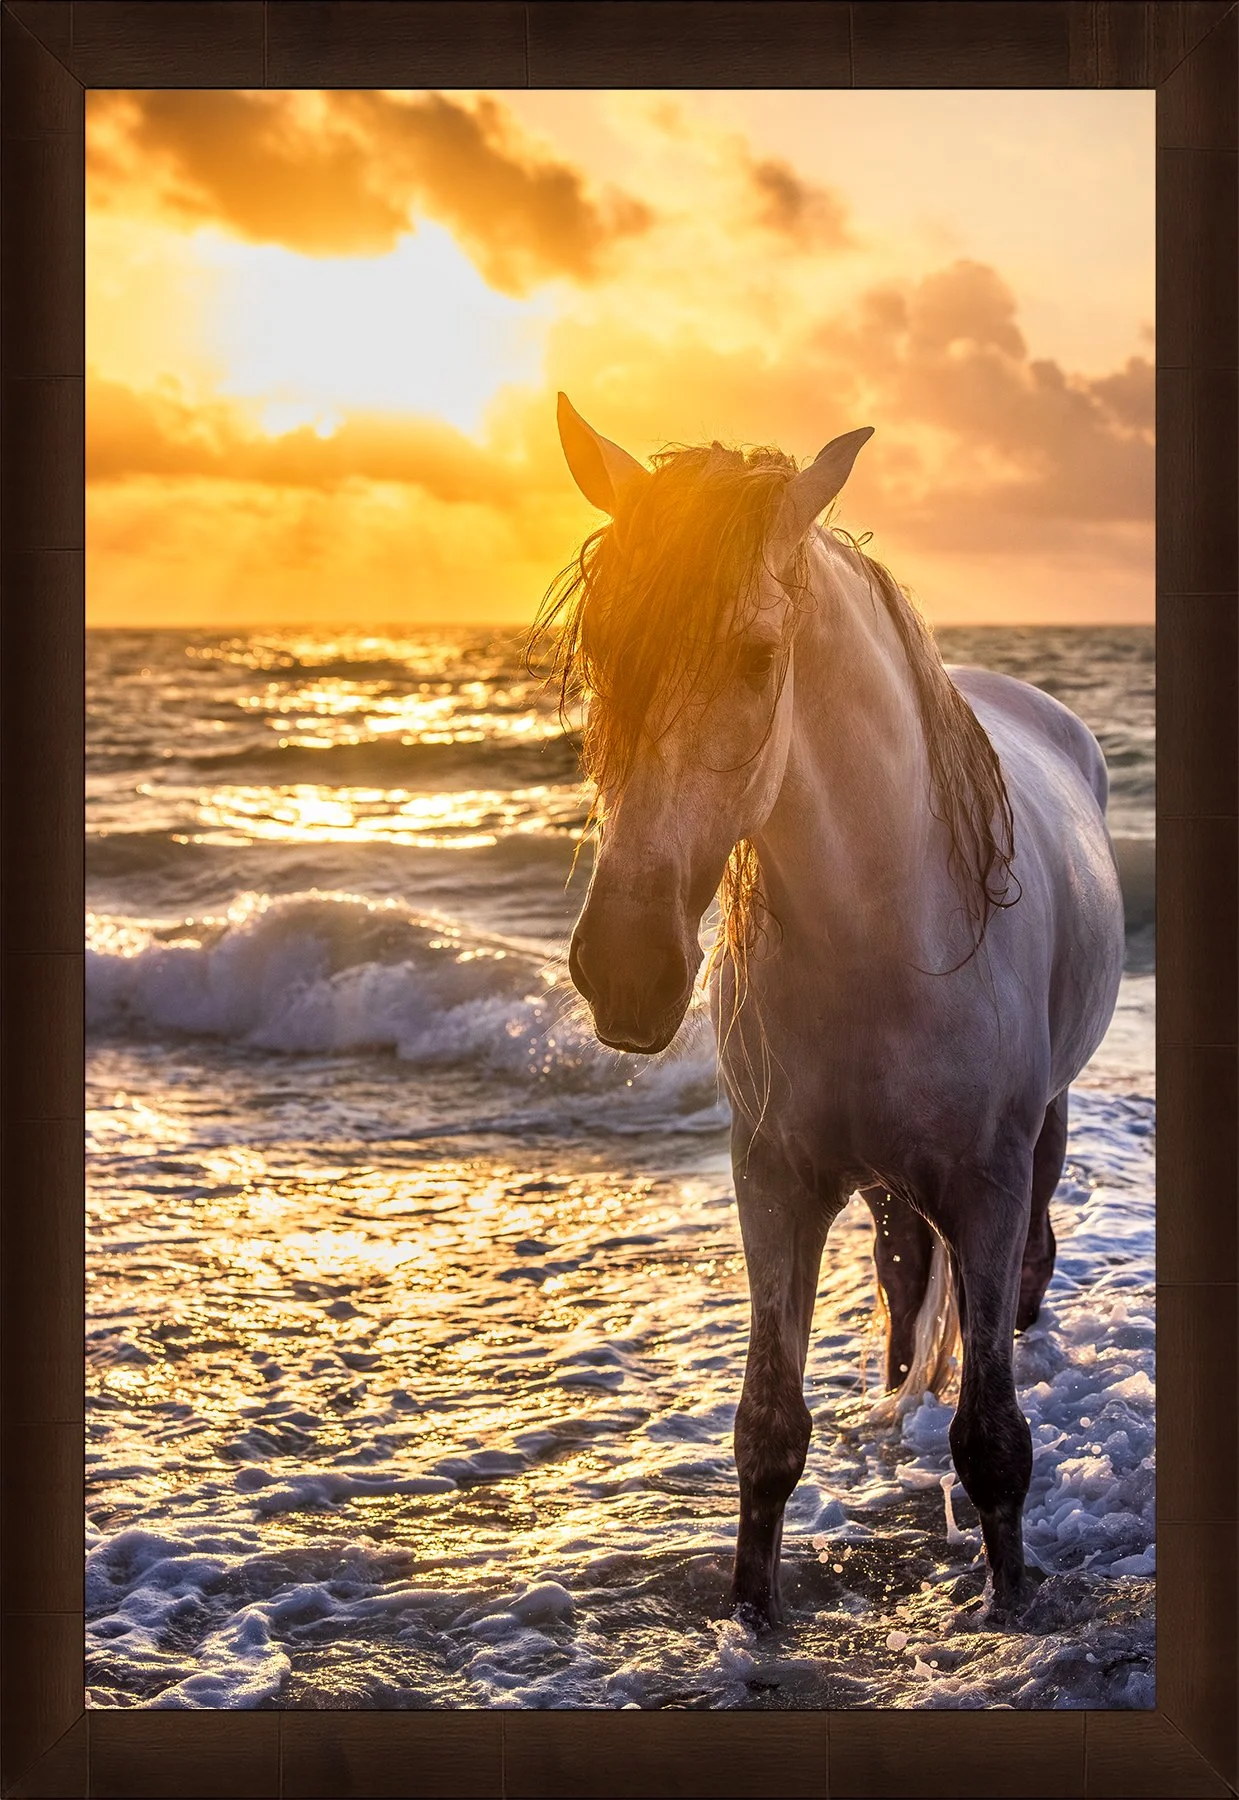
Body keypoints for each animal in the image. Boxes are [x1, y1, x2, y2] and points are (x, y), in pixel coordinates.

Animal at [535, 393, 1125, 1631]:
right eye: (603, 647)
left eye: (760, 656)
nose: (626, 969)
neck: (890, 935)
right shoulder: (776, 1182)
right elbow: (767, 1431)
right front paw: (754, 1621)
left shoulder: (986, 1185)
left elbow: (993, 1442)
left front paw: (1009, 1609)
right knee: (904, 1285)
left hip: (1041, 1134)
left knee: (1024, 1274)